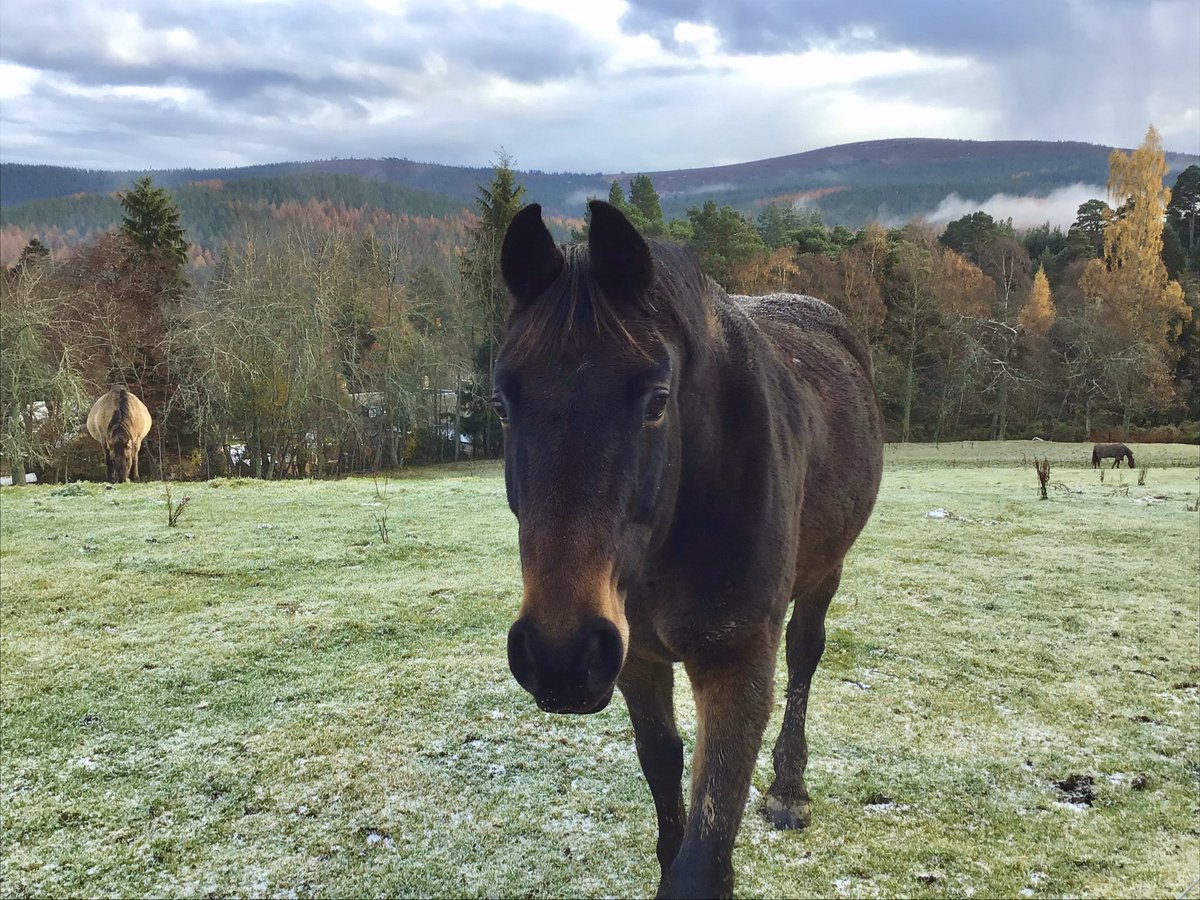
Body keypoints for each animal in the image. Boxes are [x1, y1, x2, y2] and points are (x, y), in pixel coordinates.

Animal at [494, 200, 883, 897]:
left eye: (656, 399)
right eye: (503, 402)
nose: (558, 656)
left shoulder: (735, 662)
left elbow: (704, 856)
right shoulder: (635, 660)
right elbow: (663, 767)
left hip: (825, 571)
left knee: (804, 656)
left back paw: (789, 790)